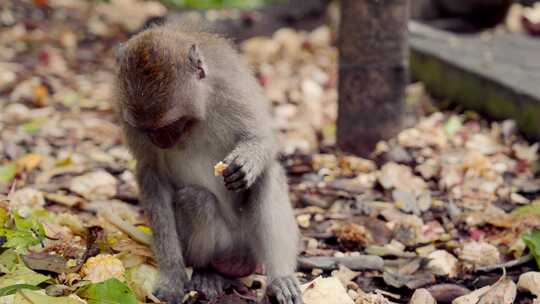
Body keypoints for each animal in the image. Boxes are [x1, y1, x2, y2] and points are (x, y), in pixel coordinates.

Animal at [114, 22, 302, 304]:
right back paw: (207, 272)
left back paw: (279, 279)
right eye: (148, 130)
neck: (198, 113)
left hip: (250, 245)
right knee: (196, 199)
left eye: (168, 125)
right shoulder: (131, 124)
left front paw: (247, 162)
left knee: (267, 177)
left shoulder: (232, 88)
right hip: (221, 244)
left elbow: (264, 137)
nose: (160, 140)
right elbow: (151, 177)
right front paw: (172, 276)